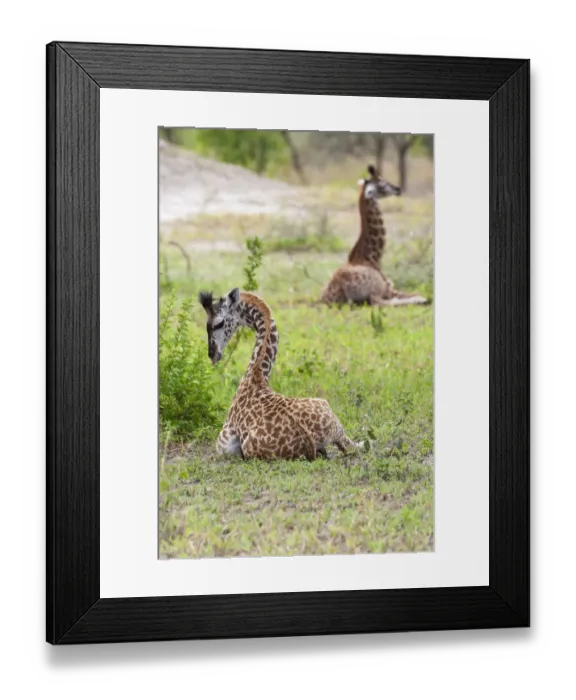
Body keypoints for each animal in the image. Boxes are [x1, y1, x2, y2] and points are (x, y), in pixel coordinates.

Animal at [199, 288, 362, 461]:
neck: (256, 374)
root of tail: (310, 442)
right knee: (357, 446)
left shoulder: (224, 440)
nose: (212, 354)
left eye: (218, 323)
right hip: (336, 424)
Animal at [320, 165, 430, 307]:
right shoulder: (388, 289)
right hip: (375, 288)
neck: (373, 258)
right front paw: (421, 298)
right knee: (379, 302)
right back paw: (420, 300)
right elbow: (415, 293)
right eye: (382, 185)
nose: (398, 189)